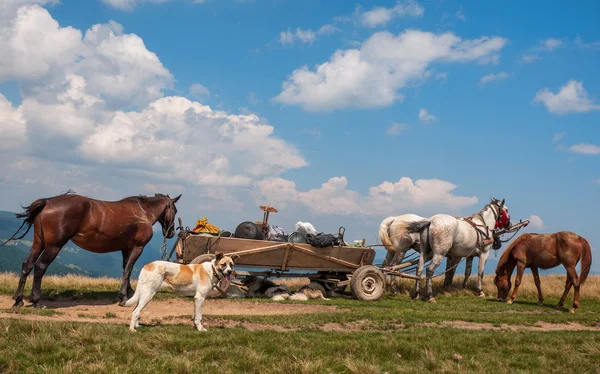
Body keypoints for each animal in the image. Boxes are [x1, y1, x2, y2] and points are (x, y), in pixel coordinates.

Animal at [1, 191, 182, 308]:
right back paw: (36, 300)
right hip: (54, 246)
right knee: (40, 267)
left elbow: (126, 269)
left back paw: (18, 300)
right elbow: (128, 270)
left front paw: (129, 292)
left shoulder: (126, 248)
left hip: (39, 243)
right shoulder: (137, 247)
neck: (143, 213)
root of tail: (48, 202)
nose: (171, 233)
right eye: (175, 210)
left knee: (27, 265)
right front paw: (123, 297)